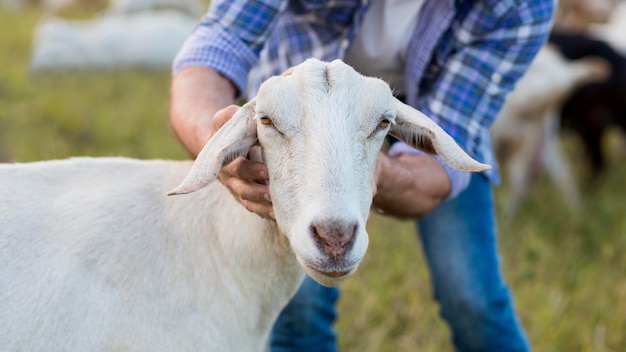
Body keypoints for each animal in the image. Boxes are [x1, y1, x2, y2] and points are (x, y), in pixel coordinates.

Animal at [490, 45, 608, 217]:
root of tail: (565, 74)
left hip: (521, 137)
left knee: (519, 183)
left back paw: (507, 218)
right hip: (545, 137)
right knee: (564, 174)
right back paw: (578, 215)